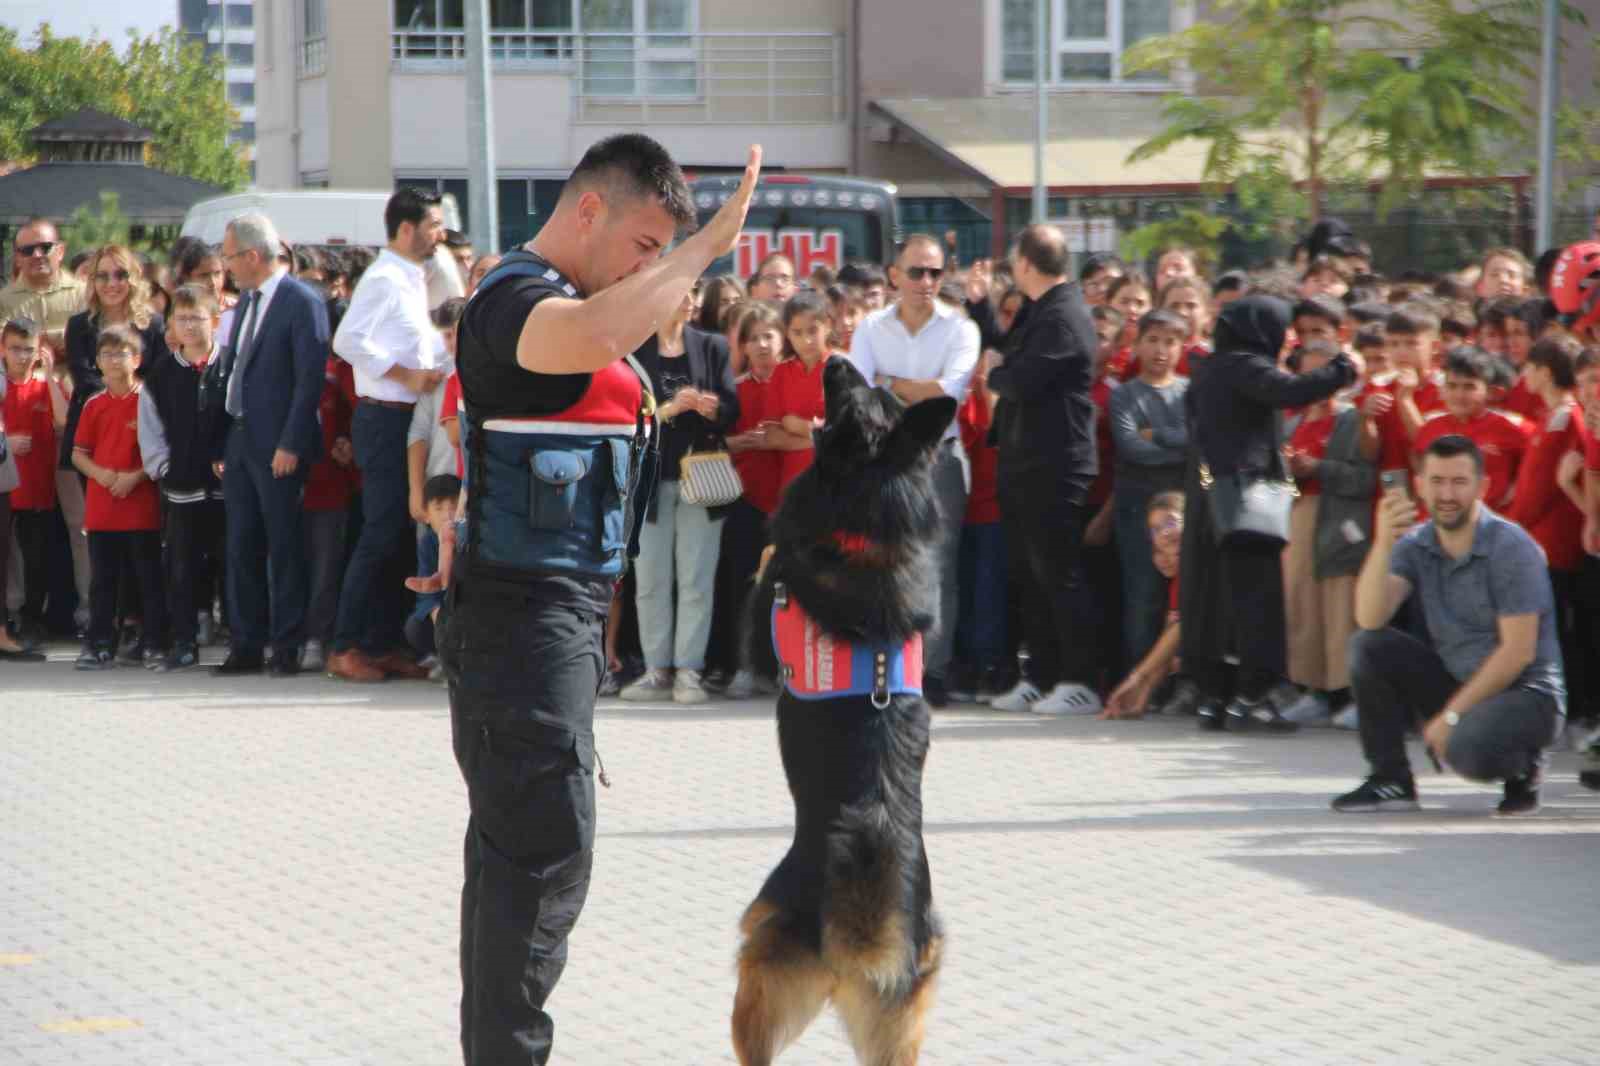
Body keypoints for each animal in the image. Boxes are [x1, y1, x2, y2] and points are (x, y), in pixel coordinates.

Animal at [732, 358, 953, 1062]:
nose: (830, 359)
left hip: (756, 960)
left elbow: (765, 564)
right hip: (901, 1021)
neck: (870, 519)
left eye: (853, 394)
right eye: (875, 391)